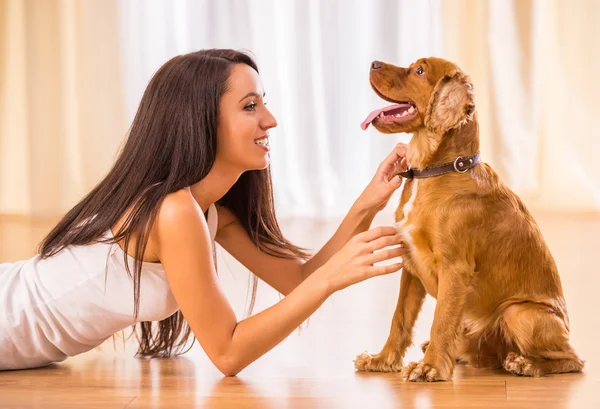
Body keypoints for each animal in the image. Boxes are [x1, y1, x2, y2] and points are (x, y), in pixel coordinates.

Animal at [354, 56, 584, 380]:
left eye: (420, 70)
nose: (373, 63)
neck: (435, 171)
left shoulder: (455, 268)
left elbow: (440, 321)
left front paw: (430, 368)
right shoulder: (410, 265)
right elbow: (399, 319)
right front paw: (383, 360)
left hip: (519, 312)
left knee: (573, 359)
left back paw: (525, 364)